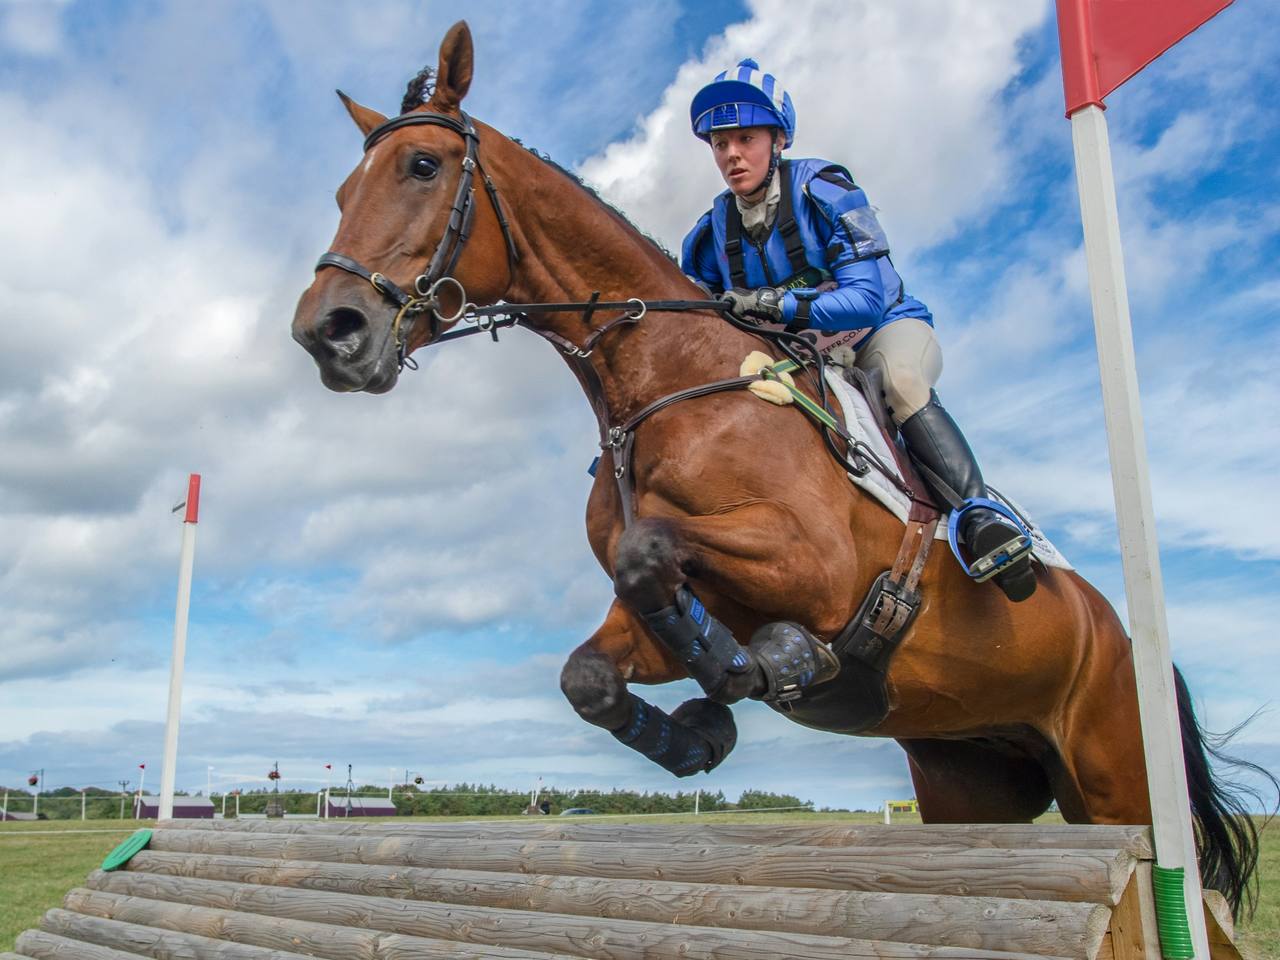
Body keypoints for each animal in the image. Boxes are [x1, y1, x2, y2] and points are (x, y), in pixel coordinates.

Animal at [290, 21, 1264, 918]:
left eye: (422, 166)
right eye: (340, 191)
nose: (325, 333)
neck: (662, 380)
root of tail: (1128, 641)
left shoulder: (815, 563)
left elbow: (650, 549)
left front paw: (777, 665)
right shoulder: (685, 608)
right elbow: (592, 670)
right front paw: (701, 733)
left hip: (1114, 773)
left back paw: (990, 538)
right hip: (969, 776)